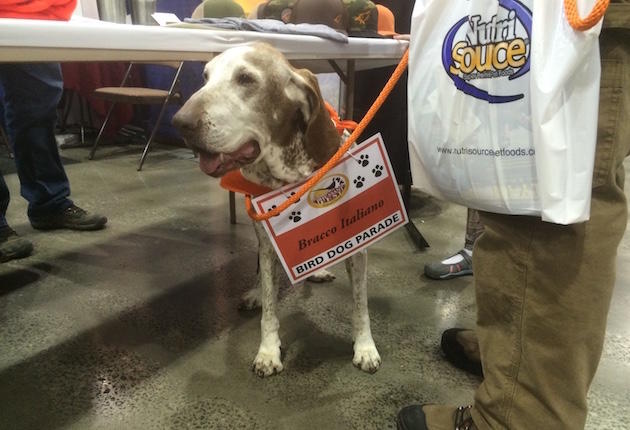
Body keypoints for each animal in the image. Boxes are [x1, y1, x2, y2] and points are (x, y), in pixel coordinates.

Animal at [172, 41, 380, 376]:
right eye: (205, 77)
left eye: (246, 79)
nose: (179, 123)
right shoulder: (269, 243)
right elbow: (270, 307)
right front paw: (268, 351)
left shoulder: (358, 244)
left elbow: (360, 304)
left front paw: (365, 346)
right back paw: (256, 292)